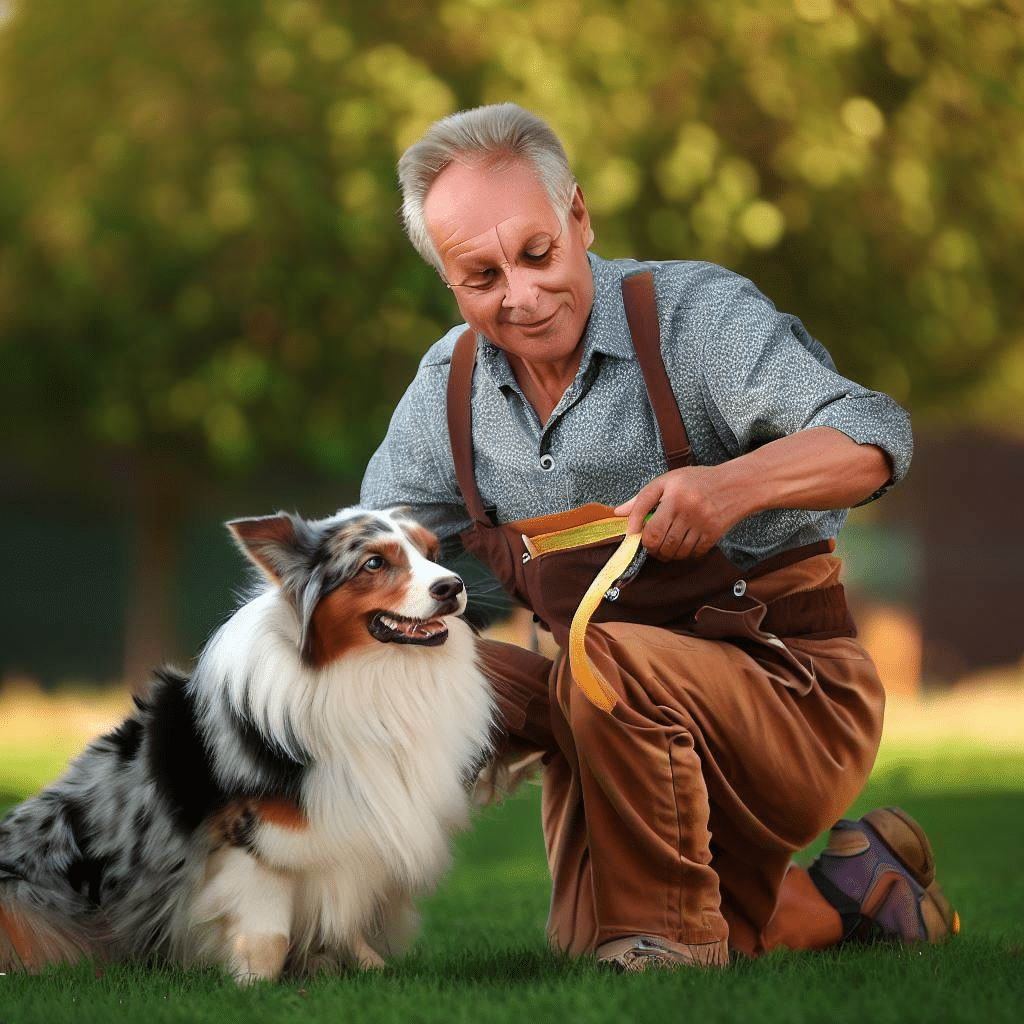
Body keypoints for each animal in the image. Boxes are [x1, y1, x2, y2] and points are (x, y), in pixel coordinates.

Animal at [0, 507, 495, 978]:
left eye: (432, 553)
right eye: (374, 563)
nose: (453, 587)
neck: (367, 672)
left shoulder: (355, 827)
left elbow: (345, 910)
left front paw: (368, 967)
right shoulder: (251, 839)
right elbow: (269, 934)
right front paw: (253, 984)